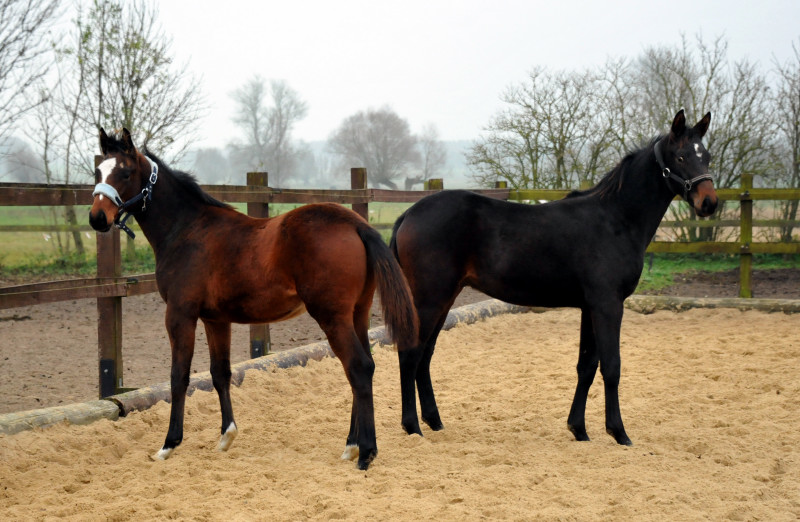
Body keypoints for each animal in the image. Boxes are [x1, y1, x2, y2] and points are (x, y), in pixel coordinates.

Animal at [88, 127, 418, 468]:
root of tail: (354, 223)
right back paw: (352, 445)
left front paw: (169, 444)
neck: (188, 230)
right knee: (364, 366)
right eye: (97, 171)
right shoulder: (216, 320)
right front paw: (226, 436)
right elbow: (220, 373)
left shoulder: (180, 315)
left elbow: (178, 377)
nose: (97, 218)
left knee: (358, 368)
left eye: (125, 172)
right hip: (357, 314)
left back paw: (365, 452)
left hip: (332, 317)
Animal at [390, 109, 720, 442]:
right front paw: (618, 432)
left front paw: (579, 429)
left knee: (425, 355)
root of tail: (409, 214)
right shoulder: (608, 305)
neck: (616, 219)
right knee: (411, 353)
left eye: (706, 156)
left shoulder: (590, 307)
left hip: (444, 299)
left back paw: (434, 421)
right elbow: (612, 367)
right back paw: (412, 426)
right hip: (430, 299)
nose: (709, 203)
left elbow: (586, 366)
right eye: (680, 156)